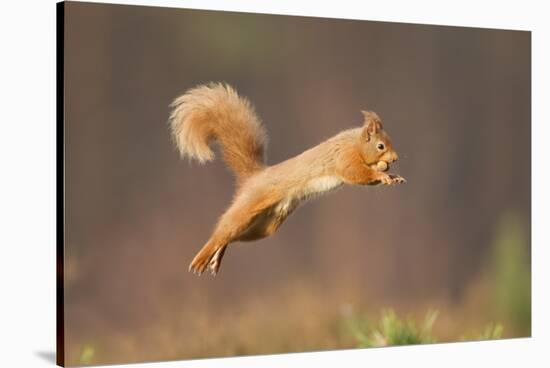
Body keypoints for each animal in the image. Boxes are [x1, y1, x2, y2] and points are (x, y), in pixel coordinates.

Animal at [168, 82, 406, 274]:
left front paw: (393, 176)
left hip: (265, 225)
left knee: (233, 237)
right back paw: (202, 258)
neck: (354, 143)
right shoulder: (344, 158)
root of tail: (255, 177)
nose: (395, 158)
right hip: (247, 208)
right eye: (381, 146)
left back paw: (216, 257)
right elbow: (358, 174)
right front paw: (383, 174)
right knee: (223, 231)